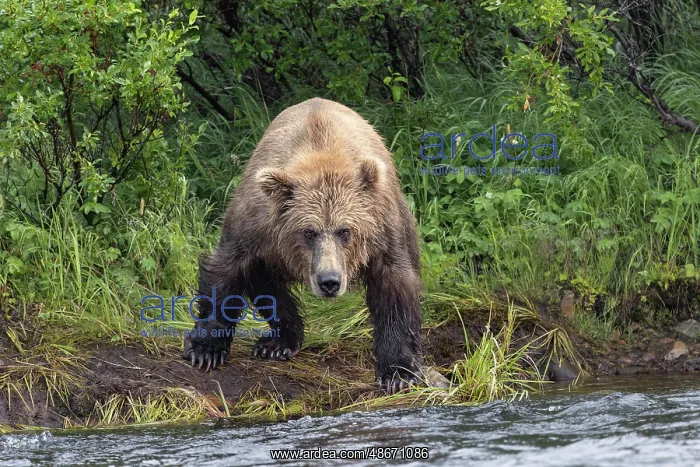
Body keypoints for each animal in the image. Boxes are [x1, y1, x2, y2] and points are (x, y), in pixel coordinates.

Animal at [182, 97, 424, 394]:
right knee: (266, 282)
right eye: (309, 231)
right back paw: (278, 342)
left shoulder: (382, 229)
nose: (329, 281)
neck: (321, 155)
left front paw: (397, 372)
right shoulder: (255, 223)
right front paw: (205, 349)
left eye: (345, 231)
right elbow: (227, 268)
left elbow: (394, 286)